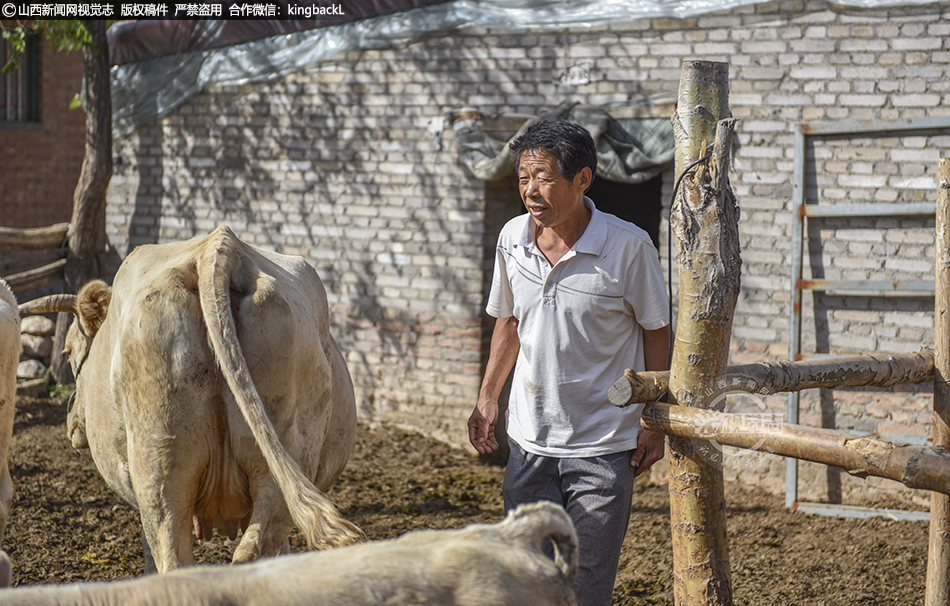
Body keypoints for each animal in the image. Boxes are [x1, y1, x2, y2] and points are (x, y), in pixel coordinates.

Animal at [22, 227, 364, 576]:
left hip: (159, 464)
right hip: (277, 460)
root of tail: (217, 248)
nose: (71, 424)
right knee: (255, 546)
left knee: (175, 555)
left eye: (68, 350)